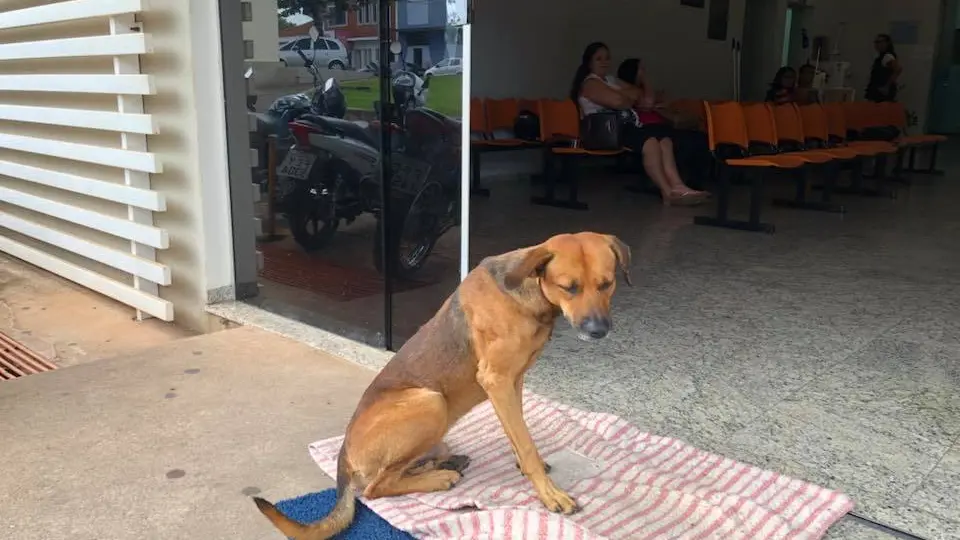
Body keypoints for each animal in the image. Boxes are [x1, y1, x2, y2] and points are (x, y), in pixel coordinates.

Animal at [253, 233, 632, 540]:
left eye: (607, 284)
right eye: (569, 287)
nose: (599, 330)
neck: (529, 289)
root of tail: (344, 455)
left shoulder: (514, 380)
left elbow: (519, 432)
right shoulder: (497, 380)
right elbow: (524, 442)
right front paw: (548, 492)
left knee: (398, 472)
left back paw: (444, 464)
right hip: (432, 403)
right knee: (375, 488)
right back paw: (439, 478)